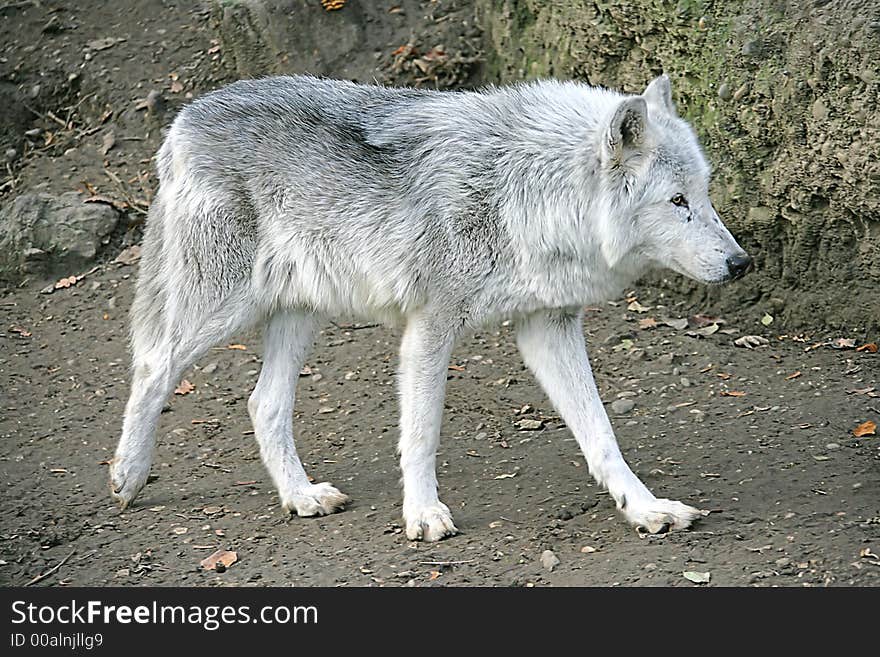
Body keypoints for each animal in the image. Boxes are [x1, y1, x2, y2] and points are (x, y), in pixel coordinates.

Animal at [110, 74, 752, 540]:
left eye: (705, 195)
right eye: (677, 201)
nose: (741, 263)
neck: (525, 190)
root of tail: (184, 119)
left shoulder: (547, 327)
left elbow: (602, 435)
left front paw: (644, 508)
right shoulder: (430, 328)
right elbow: (421, 433)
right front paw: (422, 515)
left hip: (300, 312)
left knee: (262, 403)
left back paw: (301, 497)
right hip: (223, 308)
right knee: (153, 365)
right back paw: (127, 477)